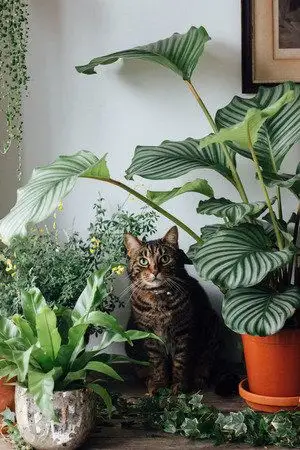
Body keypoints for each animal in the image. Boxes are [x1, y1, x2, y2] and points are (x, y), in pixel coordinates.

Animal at [123, 225, 220, 394]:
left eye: (165, 258)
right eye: (143, 261)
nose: (155, 271)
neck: (158, 301)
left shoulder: (184, 331)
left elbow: (181, 360)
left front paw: (179, 385)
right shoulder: (149, 334)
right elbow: (157, 361)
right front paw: (159, 384)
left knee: (204, 363)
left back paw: (198, 380)